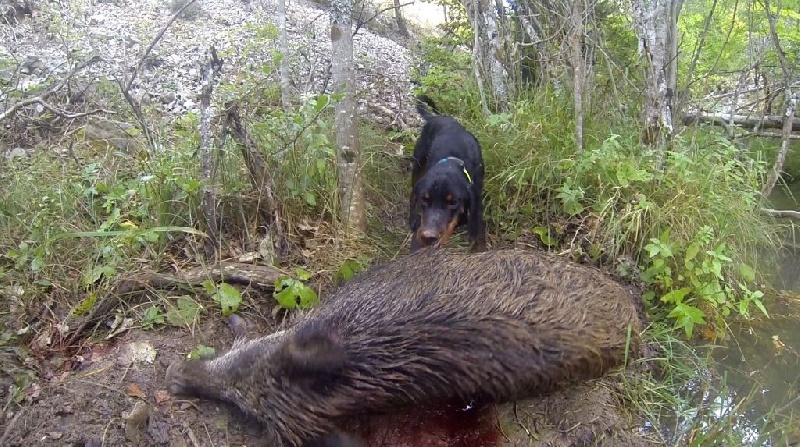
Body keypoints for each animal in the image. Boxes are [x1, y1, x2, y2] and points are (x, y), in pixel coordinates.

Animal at [410, 95, 484, 252]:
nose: (428, 237)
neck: (451, 161)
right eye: (424, 199)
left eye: (453, 202)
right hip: (418, 161)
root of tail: (436, 117)